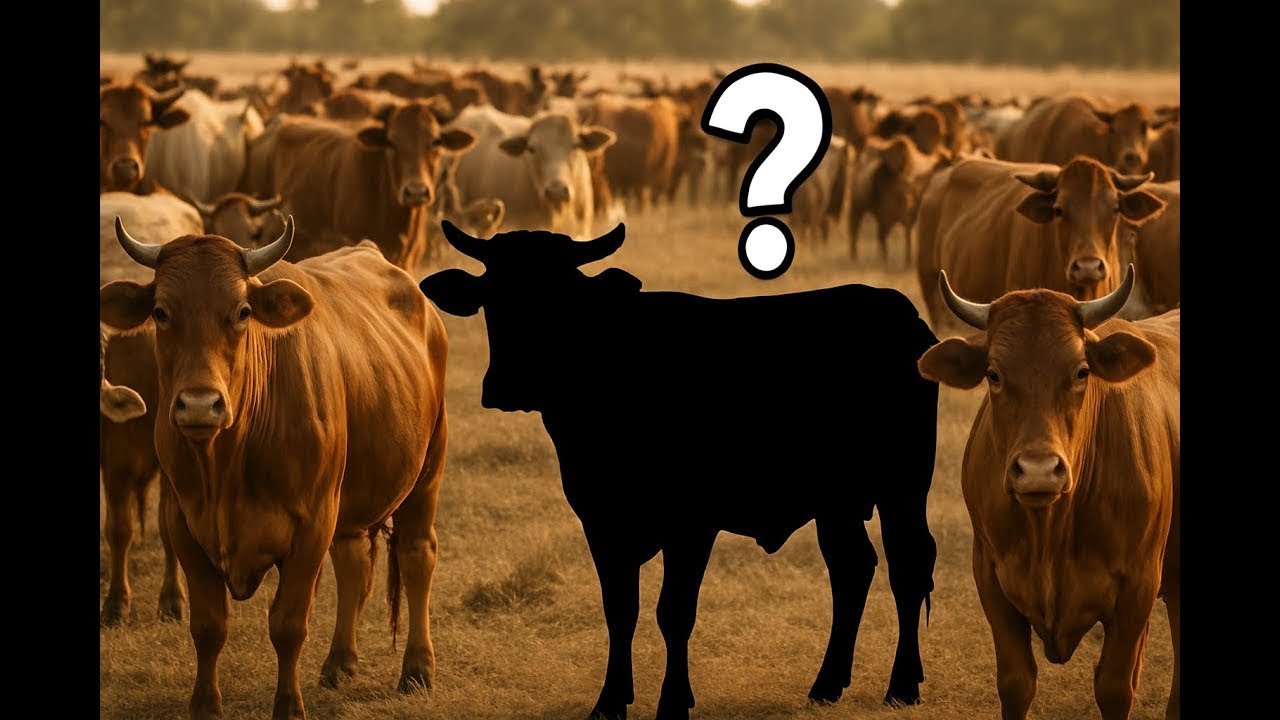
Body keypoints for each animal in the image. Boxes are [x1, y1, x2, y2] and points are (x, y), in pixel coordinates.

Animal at [100, 218, 450, 720]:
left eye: (242, 311)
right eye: (162, 312)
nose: (200, 405)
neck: (228, 463)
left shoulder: (311, 527)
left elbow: (288, 625)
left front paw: (288, 706)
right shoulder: (185, 526)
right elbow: (208, 626)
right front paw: (206, 706)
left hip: (428, 469)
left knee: (418, 555)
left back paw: (417, 668)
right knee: (353, 562)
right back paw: (340, 661)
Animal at [419, 221, 940, 720]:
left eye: (559, 300)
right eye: (492, 297)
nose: (508, 386)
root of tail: (901, 313)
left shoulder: (691, 524)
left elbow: (674, 612)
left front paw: (672, 702)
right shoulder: (600, 520)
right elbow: (620, 610)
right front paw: (610, 701)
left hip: (904, 486)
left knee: (909, 565)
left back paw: (902, 686)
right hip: (837, 501)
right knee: (852, 568)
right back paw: (827, 685)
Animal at [917, 269, 1179, 720]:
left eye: (1081, 372)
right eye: (994, 374)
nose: (1038, 471)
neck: (1051, 531)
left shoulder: (1139, 586)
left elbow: (1115, 688)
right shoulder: (990, 578)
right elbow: (1016, 683)